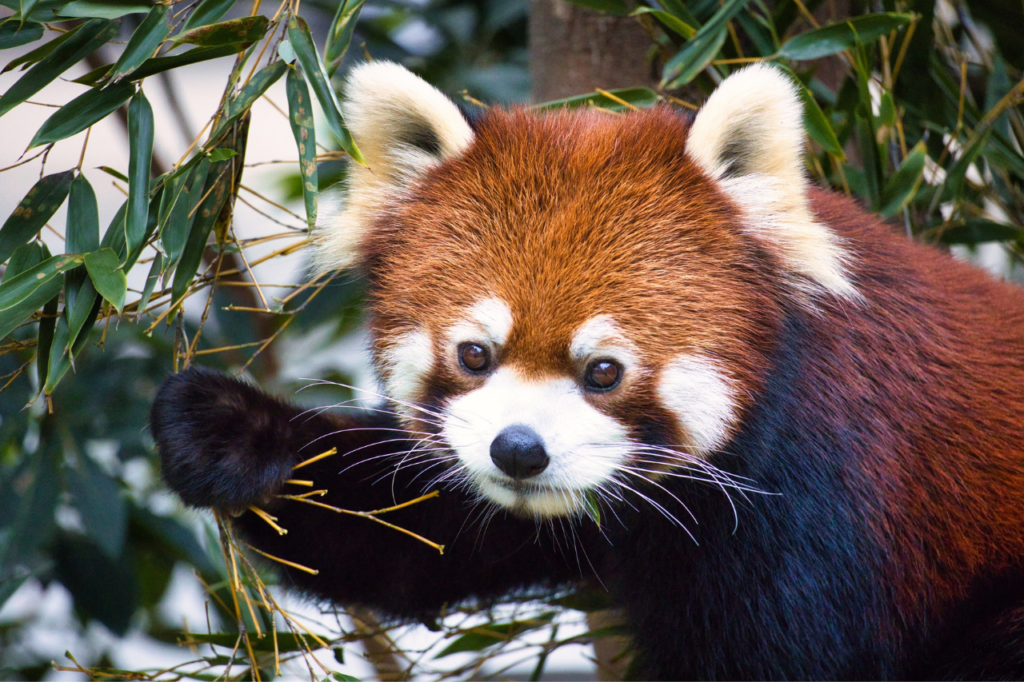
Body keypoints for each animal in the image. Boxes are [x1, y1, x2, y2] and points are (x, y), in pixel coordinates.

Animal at [150, 62, 1024, 679]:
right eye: (475, 354)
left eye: (603, 370)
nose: (518, 450)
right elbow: (418, 532)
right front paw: (230, 432)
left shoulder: (820, 513)